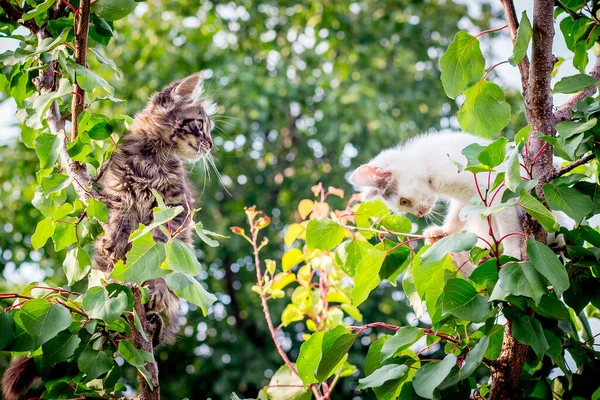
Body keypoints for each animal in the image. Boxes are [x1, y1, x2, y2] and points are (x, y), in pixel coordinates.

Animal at [94, 72, 216, 344]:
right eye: (200, 124)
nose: (211, 144)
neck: (153, 157)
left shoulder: (174, 208)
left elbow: (160, 242)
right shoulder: (119, 189)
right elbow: (122, 217)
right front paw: (116, 239)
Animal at [350, 130, 524, 276]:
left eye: (404, 201)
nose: (419, 214)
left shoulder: (495, 188)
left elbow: (505, 219)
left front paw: (512, 253)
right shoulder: (467, 198)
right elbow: (458, 216)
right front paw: (443, 232)